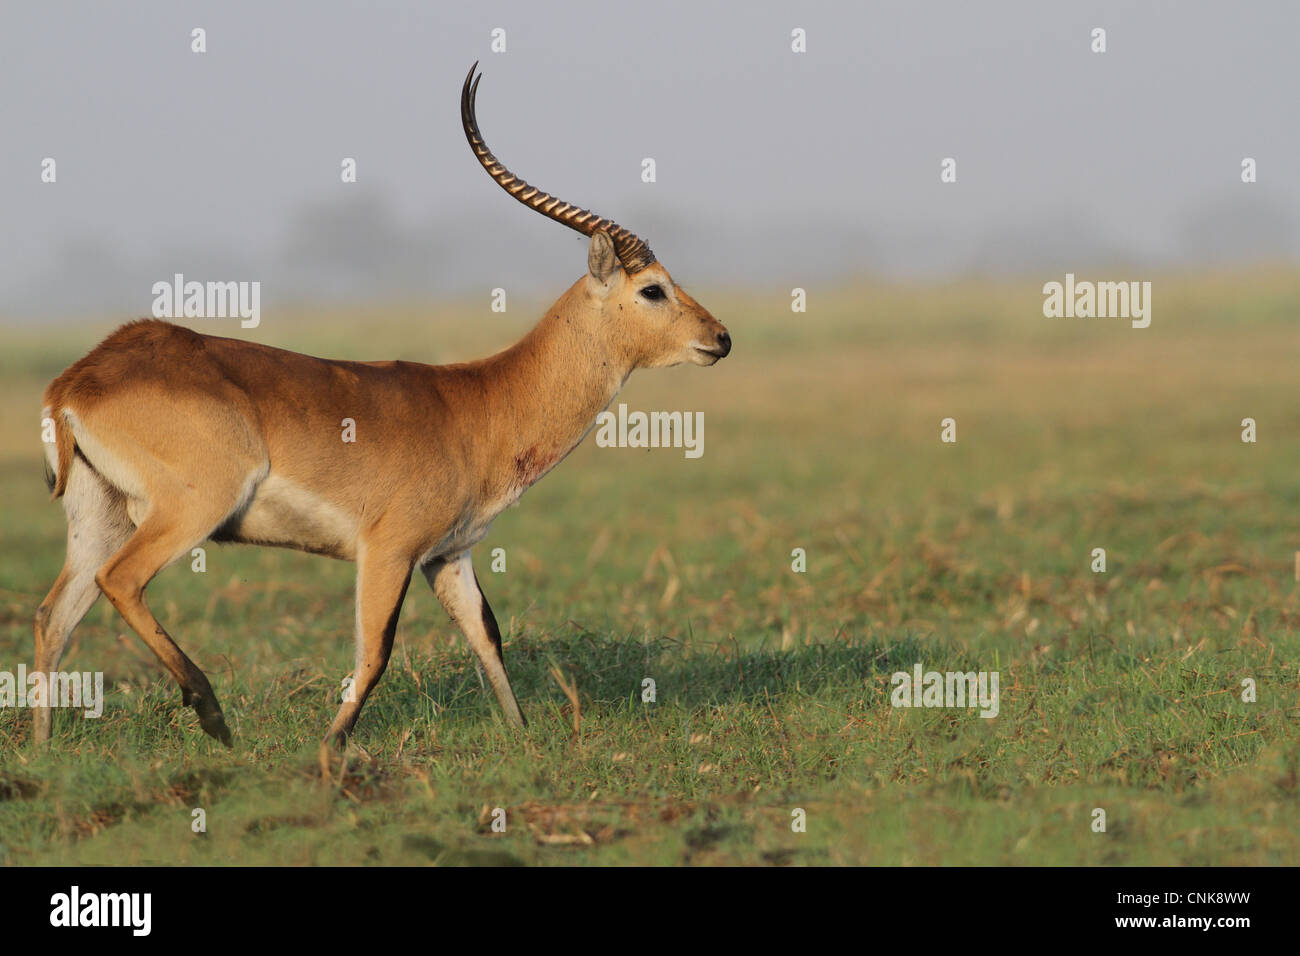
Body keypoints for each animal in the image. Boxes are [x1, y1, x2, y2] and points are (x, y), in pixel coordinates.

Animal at [32, 65, 733, 754]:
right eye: (653, 289)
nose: (721, 338)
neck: (482, 403)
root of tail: (79, 378)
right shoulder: (388, 549)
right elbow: (375, 654)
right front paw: (328, 749)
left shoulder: (449, 556)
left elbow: (487, 636)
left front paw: (525, 741)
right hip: (192, 507)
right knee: (119, 581)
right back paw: (212, 715)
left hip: (102, 516)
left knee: (52, 616)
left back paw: (42, 752)